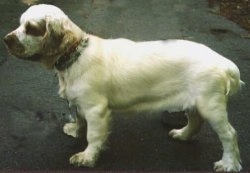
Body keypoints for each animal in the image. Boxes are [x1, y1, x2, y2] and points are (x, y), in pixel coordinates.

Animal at [3, 4, 242, 172]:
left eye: (31, 29)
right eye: (20, 24)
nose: (6, 40)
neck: (75, 54)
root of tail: (223, 62)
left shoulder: (96, 109)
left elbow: (93, 135)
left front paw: (87, 157)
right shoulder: (81, 104)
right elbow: (79, 118)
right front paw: (74, 130)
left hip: (211, 105)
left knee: (229, 134)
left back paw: (228, 164)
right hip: (194, 102)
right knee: (195, 121)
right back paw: (182, 134)